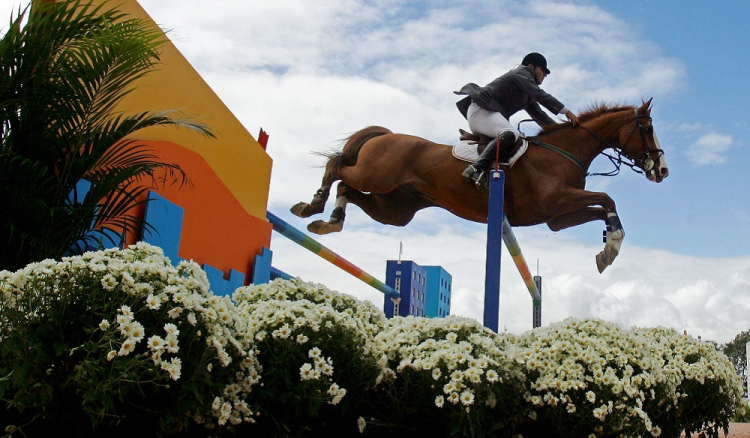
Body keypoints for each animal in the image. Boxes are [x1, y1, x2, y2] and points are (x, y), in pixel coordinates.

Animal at [292, 99, 668, 272]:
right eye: (647, 128)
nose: (662, 170)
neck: (565, 151)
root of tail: (387, 135)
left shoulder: (557, 217)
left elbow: (602, 207)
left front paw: (607, 249)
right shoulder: (558, 200)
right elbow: (607, 198)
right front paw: (612, 246)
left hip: (395, 209)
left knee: (349, 190)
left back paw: (329, 222)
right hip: (376, 174)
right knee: (337, 168)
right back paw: (311, 205)